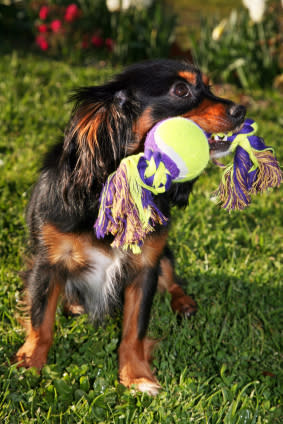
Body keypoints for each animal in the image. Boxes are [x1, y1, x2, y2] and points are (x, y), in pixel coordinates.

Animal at [15, 58, 246, 394]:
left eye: (209, 86)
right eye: (181, 90)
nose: (241, 110)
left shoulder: (145, 267)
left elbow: (134, 329)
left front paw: (136, 375)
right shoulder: (48, 262)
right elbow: (40, 320)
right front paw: (29, 362)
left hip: (165, 255)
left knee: (172, 278)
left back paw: (184, 303)